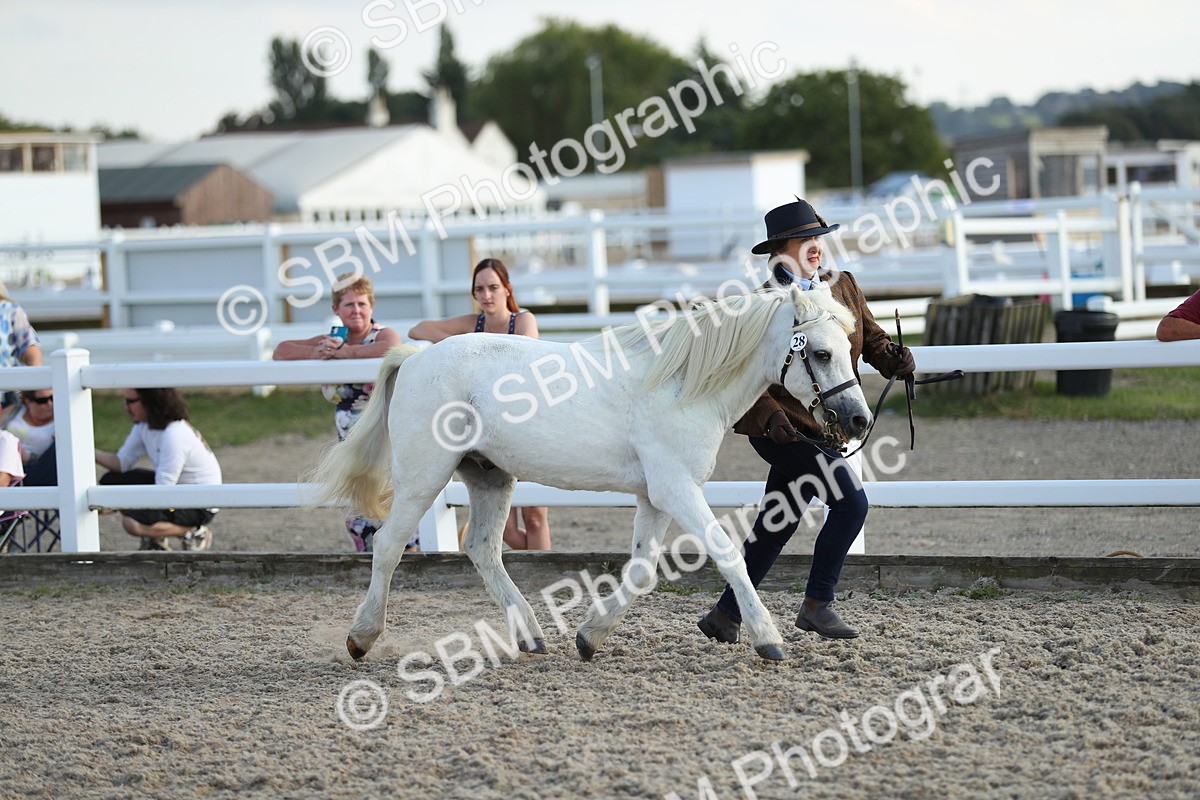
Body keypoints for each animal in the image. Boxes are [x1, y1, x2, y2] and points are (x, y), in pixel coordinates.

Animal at [315, 283, 873, 663]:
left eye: (850, 347)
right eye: (821, 352)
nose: (858, 420)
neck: (682, 385)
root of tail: (415, 358)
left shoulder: (655, 496)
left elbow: (642, 569)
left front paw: (590, 635)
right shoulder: (678, 489)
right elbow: (730, 555)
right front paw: (768, 638)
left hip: (490, 476)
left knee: (482, 548)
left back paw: (531, 635)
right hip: (424, 476)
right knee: (389, 546)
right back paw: (362, 637)